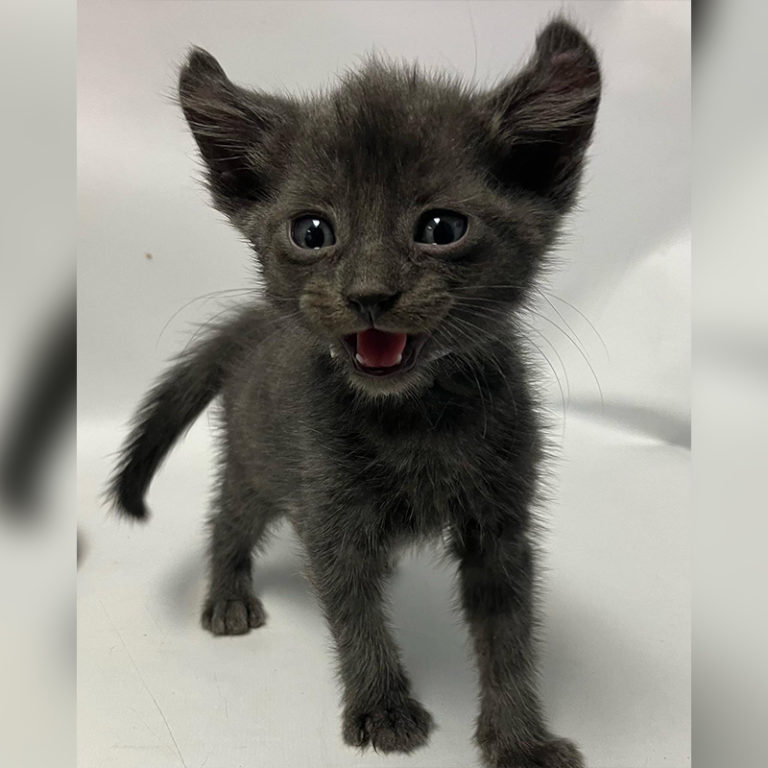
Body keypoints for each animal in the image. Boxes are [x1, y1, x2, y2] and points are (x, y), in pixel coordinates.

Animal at [109, 18, 600, 768]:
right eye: (312, 231)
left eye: (442, 228)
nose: (369, 294)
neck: (417, 417)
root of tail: (256, 324)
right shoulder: (329, 502)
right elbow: (353, 612)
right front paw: (383, 708)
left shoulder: (501, 520)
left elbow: (509, 632)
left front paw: (519, 737)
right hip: (257, 458)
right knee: (229, 518)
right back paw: (228, 596)